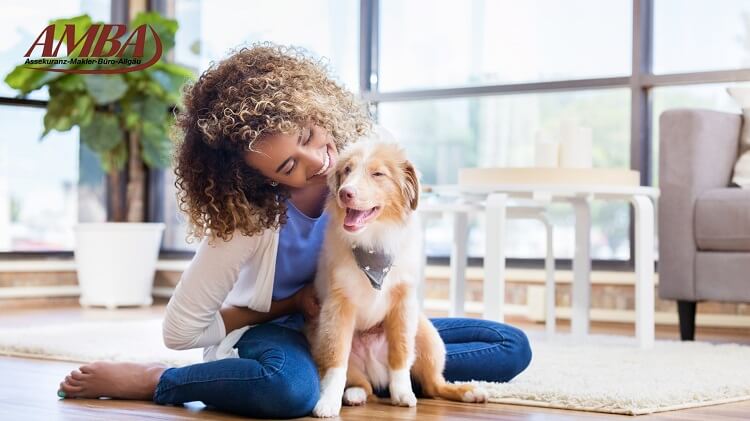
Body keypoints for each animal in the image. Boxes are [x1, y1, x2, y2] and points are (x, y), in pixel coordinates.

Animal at [306, 139, 488, 416]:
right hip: (320, 338)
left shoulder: (403, 303)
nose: (345, 193)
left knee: (433, 385)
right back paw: (354, 395)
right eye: (347, 170)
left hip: (427, 336)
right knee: (362, 383)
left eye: (378, 174)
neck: (374, 241)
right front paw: (327, 403)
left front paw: (402, 394)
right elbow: (336, 361)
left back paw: (470, 392)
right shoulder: (338, 306)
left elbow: (400, 354)